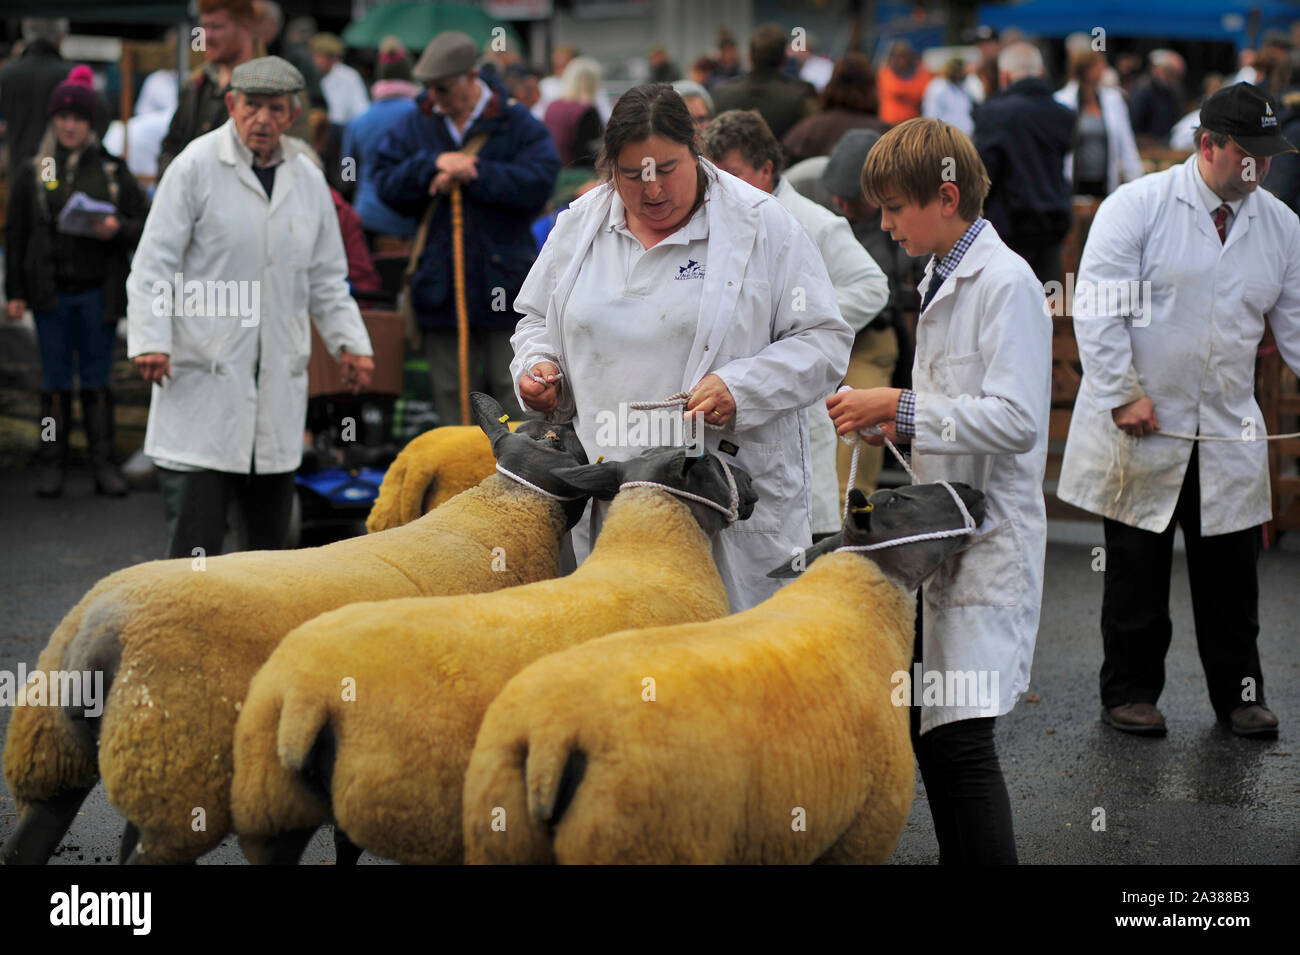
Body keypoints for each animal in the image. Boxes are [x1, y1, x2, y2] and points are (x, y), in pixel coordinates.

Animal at [0, 394, 590, 867]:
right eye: (564, 440)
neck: (502, 517)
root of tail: (100, 633)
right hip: (178, 779)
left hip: (57, 757)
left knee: (30, 840)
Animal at [462, 480, 987, 862]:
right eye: (899, 498)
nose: (972, 490)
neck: (852, 606)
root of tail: (549, 737)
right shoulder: (862, 831)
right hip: (643, 840)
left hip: (500, 833)